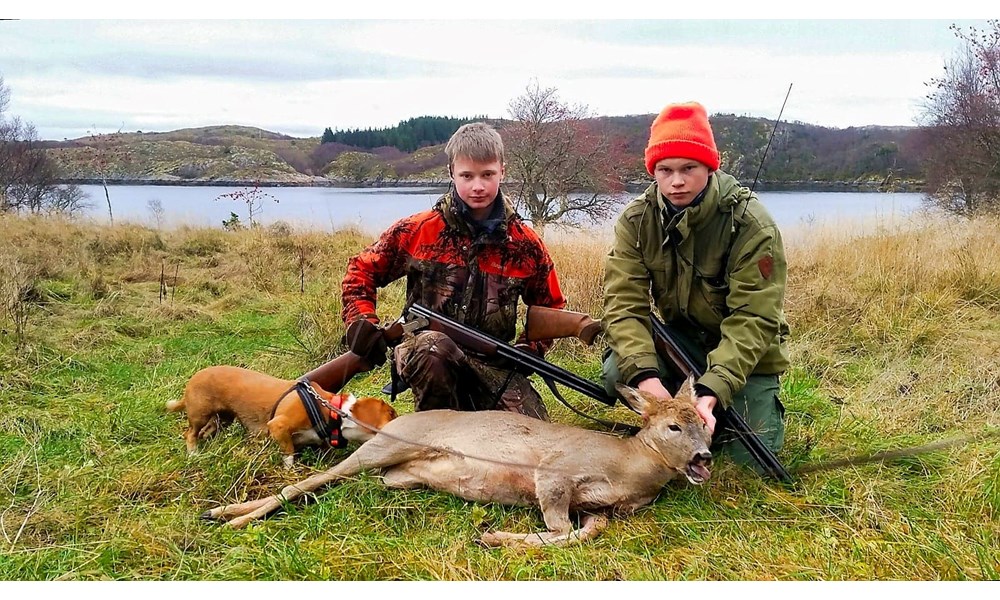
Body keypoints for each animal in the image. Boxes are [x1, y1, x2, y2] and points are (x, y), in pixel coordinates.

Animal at [166, 364, 396, 466]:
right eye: (392, 415)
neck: (331, 410)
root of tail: (192, 379)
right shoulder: (278, 426)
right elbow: (289, 453)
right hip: (200, 414)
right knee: (190, 433)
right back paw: (194, 453)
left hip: (223, 419)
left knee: (207, 432)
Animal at [201, 378, 712, 548]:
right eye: (673, 426)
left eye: (704, 424)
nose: (704, 457)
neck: (631, 468)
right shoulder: (555, 470)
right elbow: (559, 529)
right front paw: (495, 537)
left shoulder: (599, 508)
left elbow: (583, 533)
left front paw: (495, 538)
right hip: (384, 448)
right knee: (307, 482)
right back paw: (226, 515)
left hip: (396, 477)